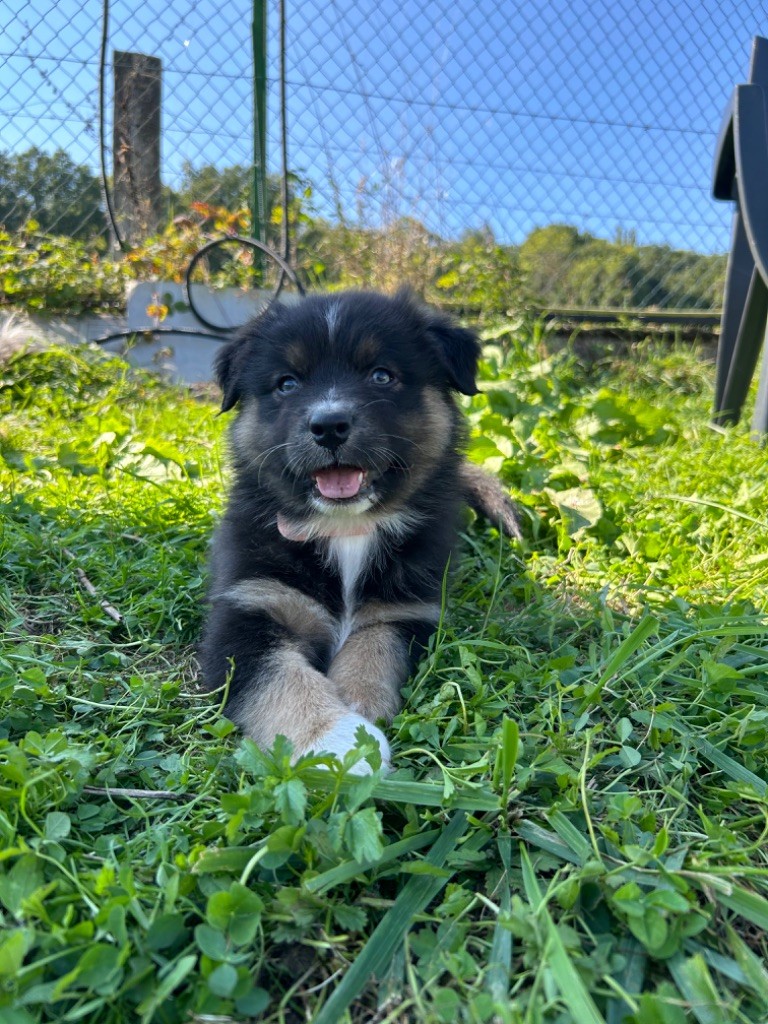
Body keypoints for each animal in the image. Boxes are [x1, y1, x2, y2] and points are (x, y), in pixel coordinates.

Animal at [201, 289, 519, 771]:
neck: (348, 530)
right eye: (287, 383)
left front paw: (358, 713)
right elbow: (279, 677)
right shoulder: (249, 606)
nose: (329, 426)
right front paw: (337, 740)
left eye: (381, 375)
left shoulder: (404, 611)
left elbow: (373, 650)